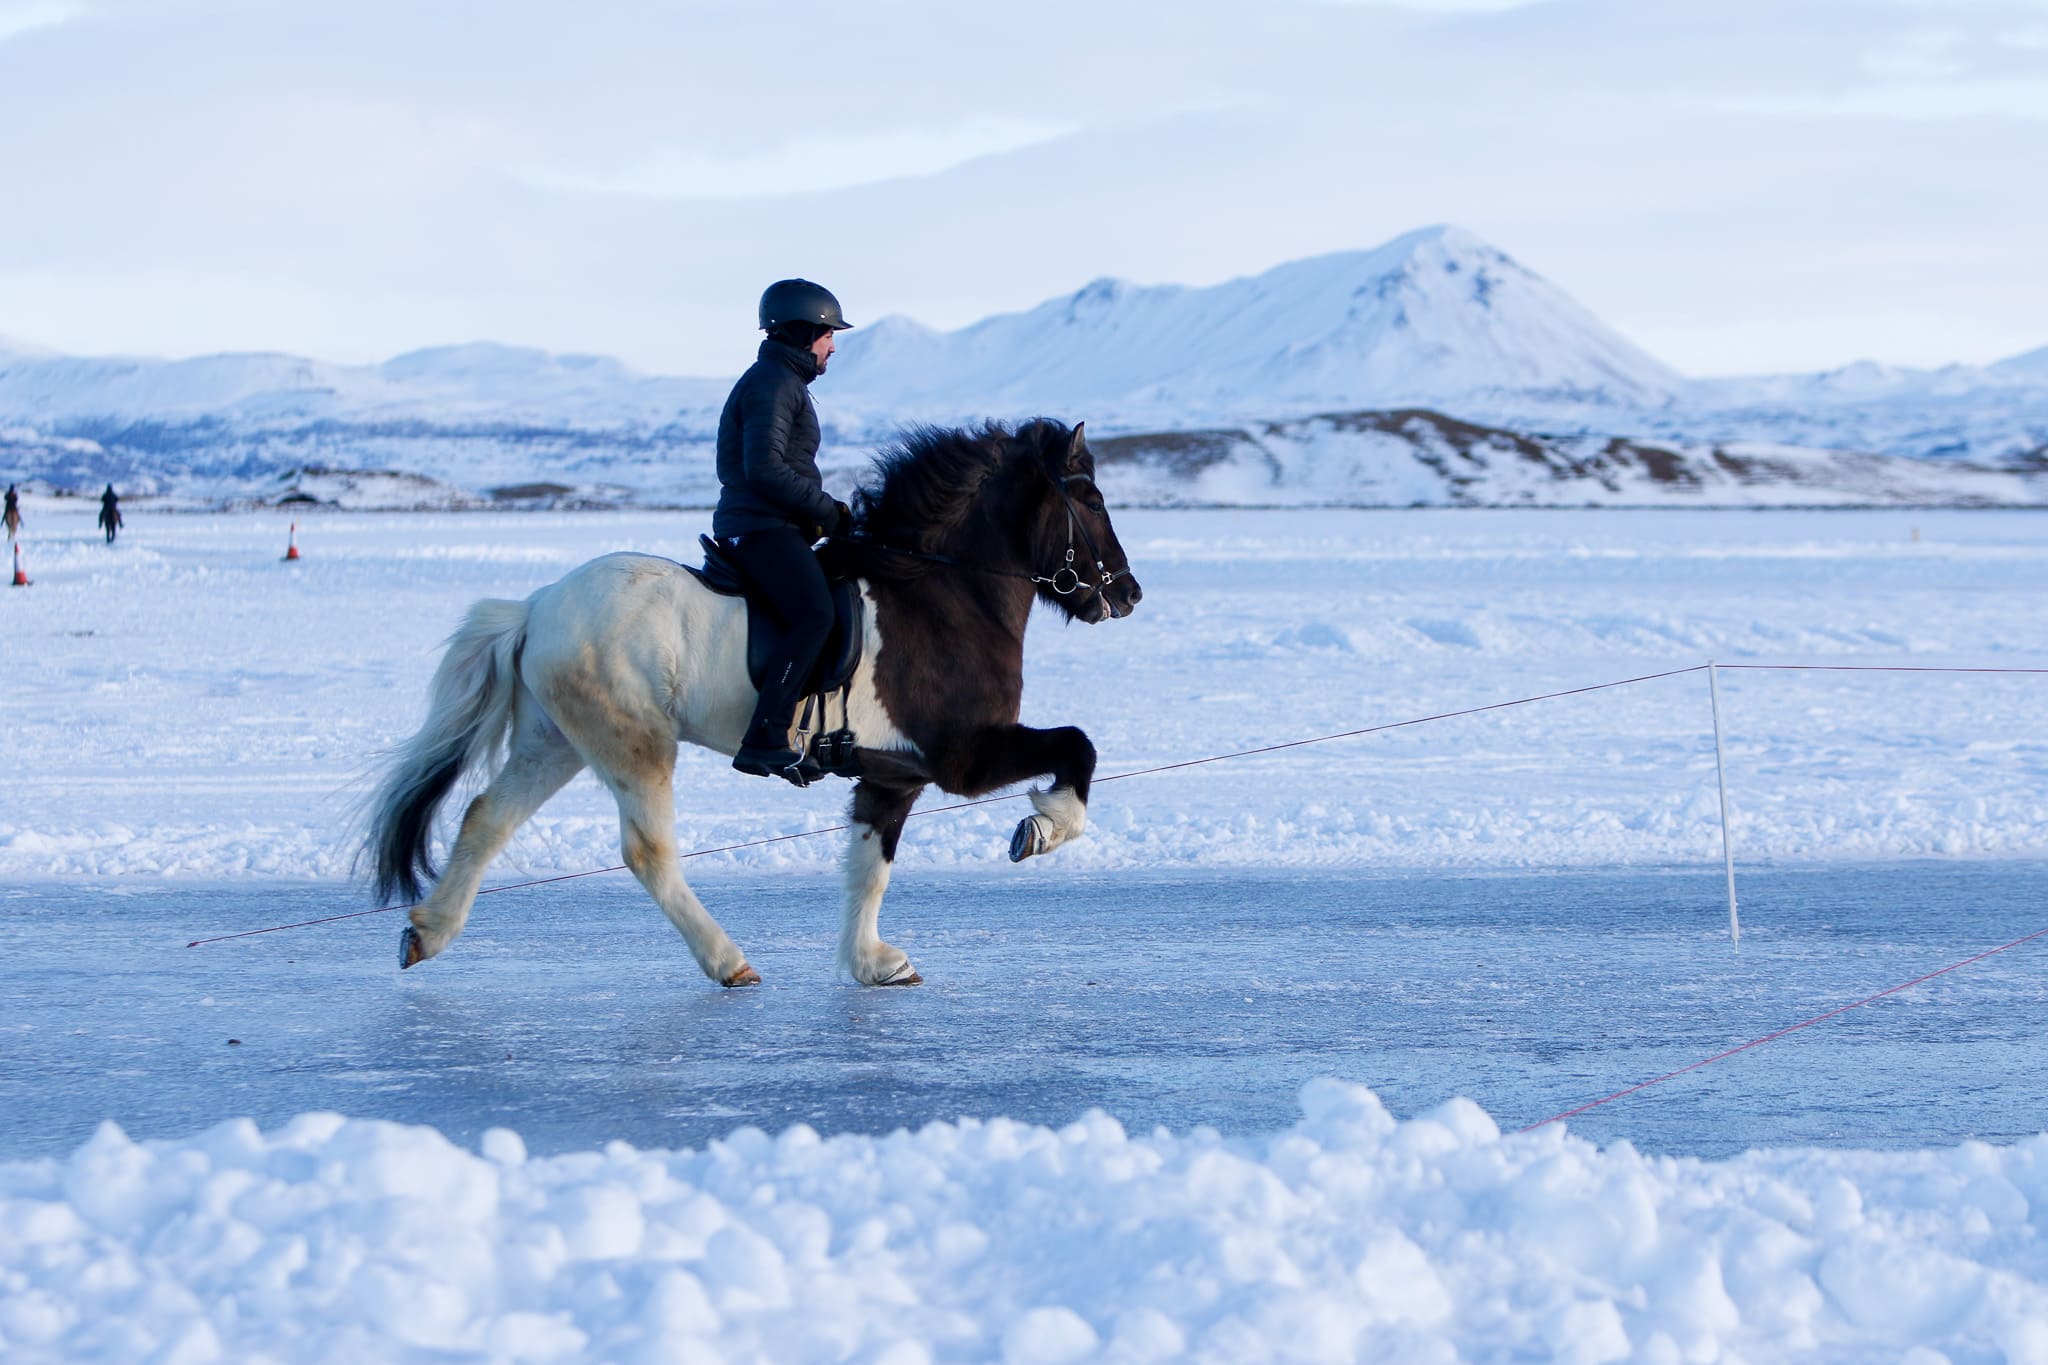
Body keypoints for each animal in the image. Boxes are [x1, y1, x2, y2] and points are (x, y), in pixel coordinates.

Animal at [362, 419, 1142, 988]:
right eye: (1092, 500)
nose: (1129, 593)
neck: (941, 592)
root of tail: (537, 605)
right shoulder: (964, 756)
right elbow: (1077, 745)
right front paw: (1040, 828)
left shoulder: (894, 774)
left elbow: (870, 862)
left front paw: (871, 962)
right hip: (634, 743)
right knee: (647, 850)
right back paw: (727, 959)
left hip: (554, 741)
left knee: (486, 817)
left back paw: (427, 932)